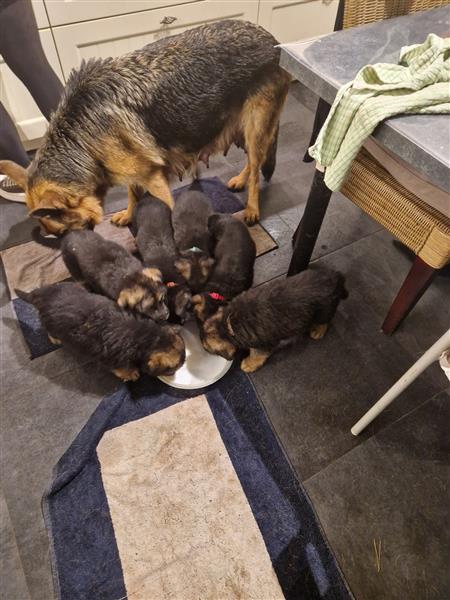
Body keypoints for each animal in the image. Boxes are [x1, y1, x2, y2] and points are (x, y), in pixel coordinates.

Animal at [1, 19, 290, 234]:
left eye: (62, 232)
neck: (78, 138)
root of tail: (272, 39)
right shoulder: (135, 170)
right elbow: (132, 194)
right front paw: (129, 215)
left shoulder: (155, 179)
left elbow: (166, 209)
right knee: (253, 162)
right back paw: (240, 179)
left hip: (255, 127)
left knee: (256, 167)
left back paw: (252, 208)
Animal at [15, 282, 185, 380]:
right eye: (171, 369)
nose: (174, 375)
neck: (147, 337)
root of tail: (42, 294)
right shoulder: (116, 360)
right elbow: (123, 369)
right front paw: (132, 374)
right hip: (51, 324)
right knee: (49, 330)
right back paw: (55, 339)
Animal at [31, 227, 169, 322]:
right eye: (150, 307)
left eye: (162, 299)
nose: (166, 315)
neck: (129, 275)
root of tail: (67, 236)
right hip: (75, 269)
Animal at [198, 268, 348, 370]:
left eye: (207, 348)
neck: (229, 322)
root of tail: (336, 276)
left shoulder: (263, 344)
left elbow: (257, 354)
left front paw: (249, 364)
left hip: (324, 309)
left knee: (325, 321)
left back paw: (318, 330)